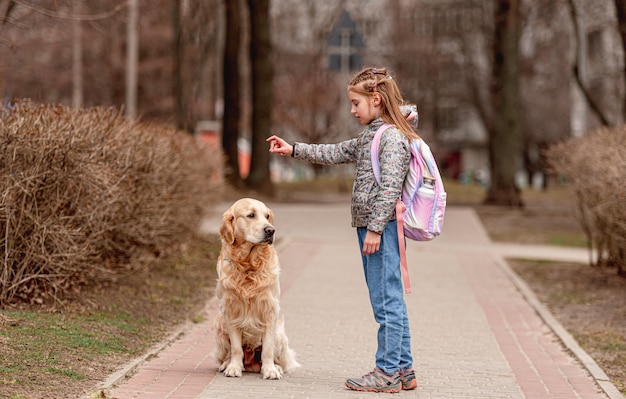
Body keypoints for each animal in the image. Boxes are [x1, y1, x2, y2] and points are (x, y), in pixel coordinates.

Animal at [212, 198, 300, 380]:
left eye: (267, 216)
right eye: (251, 215)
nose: (271, 230)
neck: (248, 265)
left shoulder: (269, 310)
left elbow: (267, 349)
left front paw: (270, 370)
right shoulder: (231, 311)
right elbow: (236, 348)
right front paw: (234, 368)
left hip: (280, 334)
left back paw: (277, 367)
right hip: (219, 326)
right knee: (228, 353)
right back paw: (226, 364)